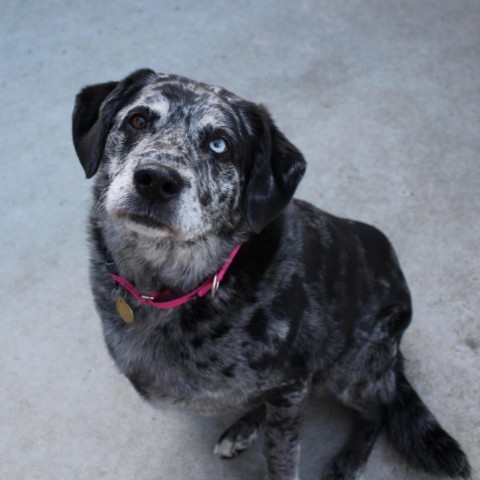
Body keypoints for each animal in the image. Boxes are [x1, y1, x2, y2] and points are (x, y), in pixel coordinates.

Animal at [72, 68, 472, 480]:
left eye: (219, 144)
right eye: (138, 120)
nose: (156, 180)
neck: (170, 285)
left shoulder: (291, 384)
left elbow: (281, 458)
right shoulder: (287, 389)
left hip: (351, 368)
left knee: (378, 407)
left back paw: (347, 463)